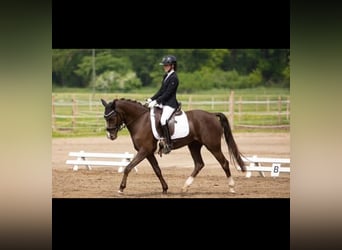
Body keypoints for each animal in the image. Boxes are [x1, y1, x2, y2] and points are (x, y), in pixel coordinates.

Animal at [99, 98, 246, 195]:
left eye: (111, 117)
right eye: (105, 117)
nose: (110, 136)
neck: (140, 120)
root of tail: (212, 115)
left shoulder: (144, 150)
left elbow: (128, 167)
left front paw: (121, 188)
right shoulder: (149, 152)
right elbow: (157, 170)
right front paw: (165, 188)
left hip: (212, 145)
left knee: (224, 163)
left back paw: (231, 187)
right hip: (194, 145)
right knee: (199, 164)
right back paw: (185, 187)